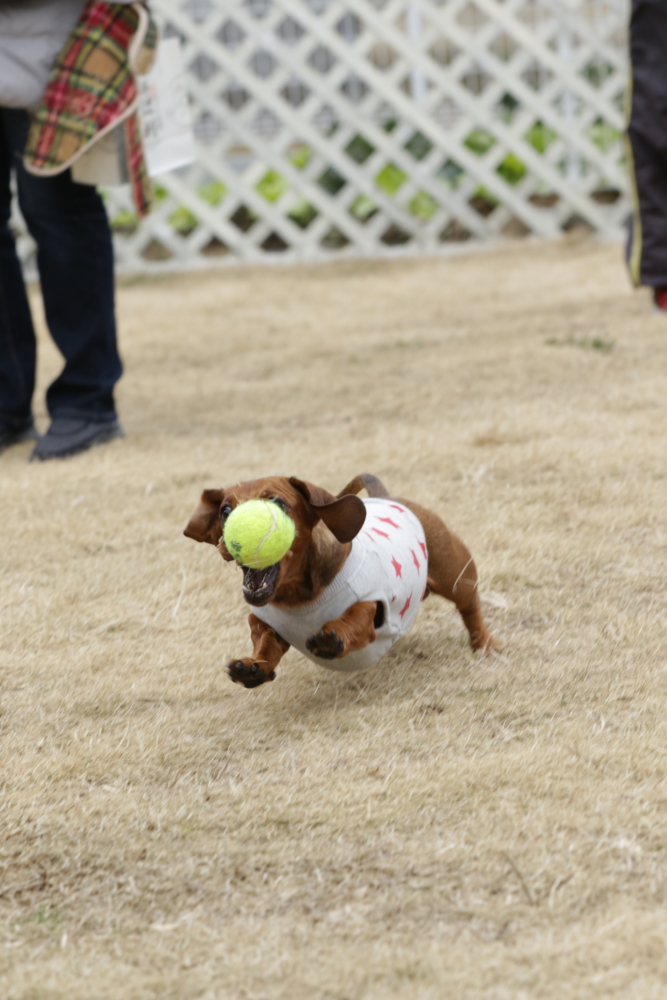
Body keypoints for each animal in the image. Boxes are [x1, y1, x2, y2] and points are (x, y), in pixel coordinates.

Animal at [185, 474, 498, 688]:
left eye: (277, 503)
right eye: (225, 511)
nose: (235, 537)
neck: (298, 597)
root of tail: (388, 498)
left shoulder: (372, 604)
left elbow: (356, 618)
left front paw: (330, 638)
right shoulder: (264, 621)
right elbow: (265, 642)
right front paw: (254, 667)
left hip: (456, 576)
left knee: (470, 609)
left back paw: (484, 644)